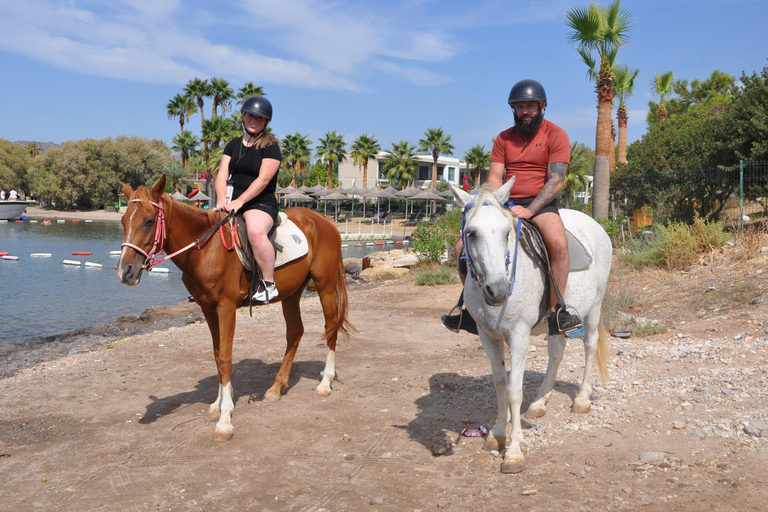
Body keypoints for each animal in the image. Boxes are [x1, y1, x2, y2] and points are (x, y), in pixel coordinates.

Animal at [117, 176, 354, 441]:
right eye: (123, 221)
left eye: (149, 221)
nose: (125, 271)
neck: (206, 249)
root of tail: (323, 220)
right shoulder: (208, 310)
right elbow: (217, 355)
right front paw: (218, 404)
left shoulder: (226, 308)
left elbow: (226, 358)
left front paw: (225, 420)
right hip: (291, 294)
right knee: (295, 332)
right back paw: (277, 386)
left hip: (325, 286)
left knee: (330, 326)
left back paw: (325, 383)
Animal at [450, 179, 613, 474]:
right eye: (471, 233)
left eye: (507, 232)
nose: (498, 290)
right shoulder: (487, 336)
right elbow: (500, 383)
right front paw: (497, 434)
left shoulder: (519, 336)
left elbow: (514, 390)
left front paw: (514, 451)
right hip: (554, 321)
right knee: (557, 350)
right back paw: (540, 402)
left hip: (595, 306)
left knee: (589, 347)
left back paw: (582, 399)